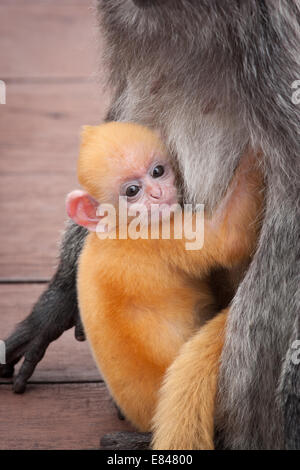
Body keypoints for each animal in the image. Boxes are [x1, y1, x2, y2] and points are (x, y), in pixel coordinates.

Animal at [67, 121, 264, 448]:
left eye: (158, 171)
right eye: (132, 191)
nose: (158, 194)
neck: (115, 228)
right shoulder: (158, 234)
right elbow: (228, 238)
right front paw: (255, 156)